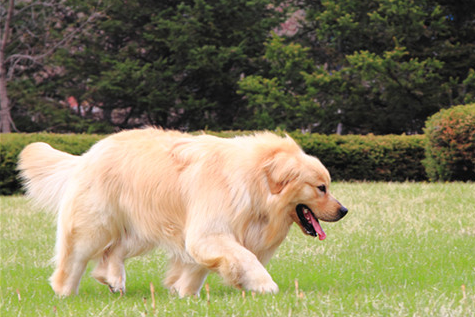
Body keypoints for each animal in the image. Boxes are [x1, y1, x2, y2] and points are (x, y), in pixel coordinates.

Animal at [18, 127, 348, 296]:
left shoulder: (200, 235)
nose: (344, 210)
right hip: (96, 226)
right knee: (75, 258)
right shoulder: (209, 232)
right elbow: (245, 257)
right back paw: (65, 293)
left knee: (112, 253)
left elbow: (197, 267)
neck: (255, 182)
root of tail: (87, 154)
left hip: (142, 229)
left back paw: (114, 281)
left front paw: (184, 294)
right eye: (321, 187)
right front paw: (264, 284)